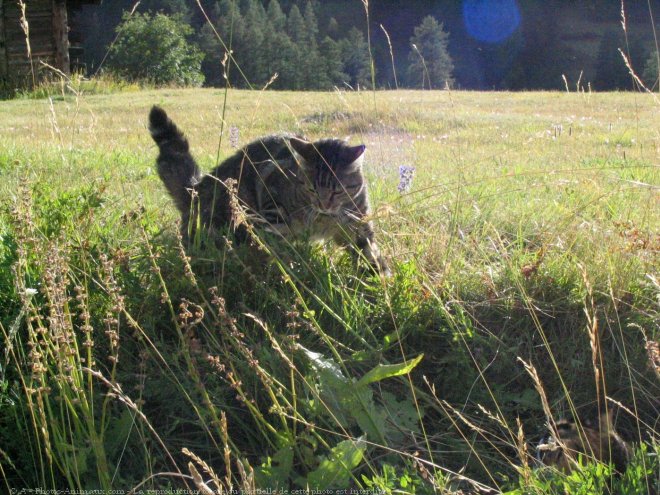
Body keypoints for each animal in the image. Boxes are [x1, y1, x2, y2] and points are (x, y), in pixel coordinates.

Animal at [148, 106, 392, 276]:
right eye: (311, 189)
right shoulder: (272, 202)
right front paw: (289, 270)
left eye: (338, 191)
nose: (323, 205)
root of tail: (195, 189)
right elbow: (277, 246)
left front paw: (380, 279)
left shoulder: (358, 224)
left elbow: (369, 251)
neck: (324, 219)